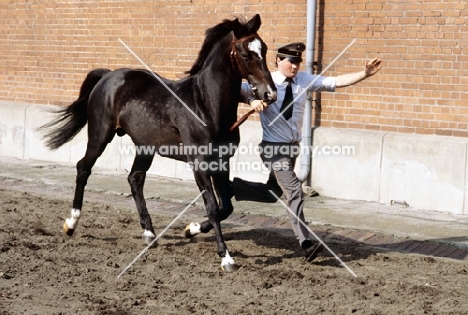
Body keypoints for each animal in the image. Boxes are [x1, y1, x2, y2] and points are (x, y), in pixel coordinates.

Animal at [39, 13, 278, 272]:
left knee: (135, 179)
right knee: (84, 168)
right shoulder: (199, 164)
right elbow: (214, 208)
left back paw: (149, 234)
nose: (270, 94)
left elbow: (226, 207)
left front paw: (190, 229)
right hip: (100, 135)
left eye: (264, 49)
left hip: (145, 147)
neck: (204, 104)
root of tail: (108, 76)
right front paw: (226, 258)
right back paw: (71, 223)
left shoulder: (221, 162)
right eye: (245, 54)